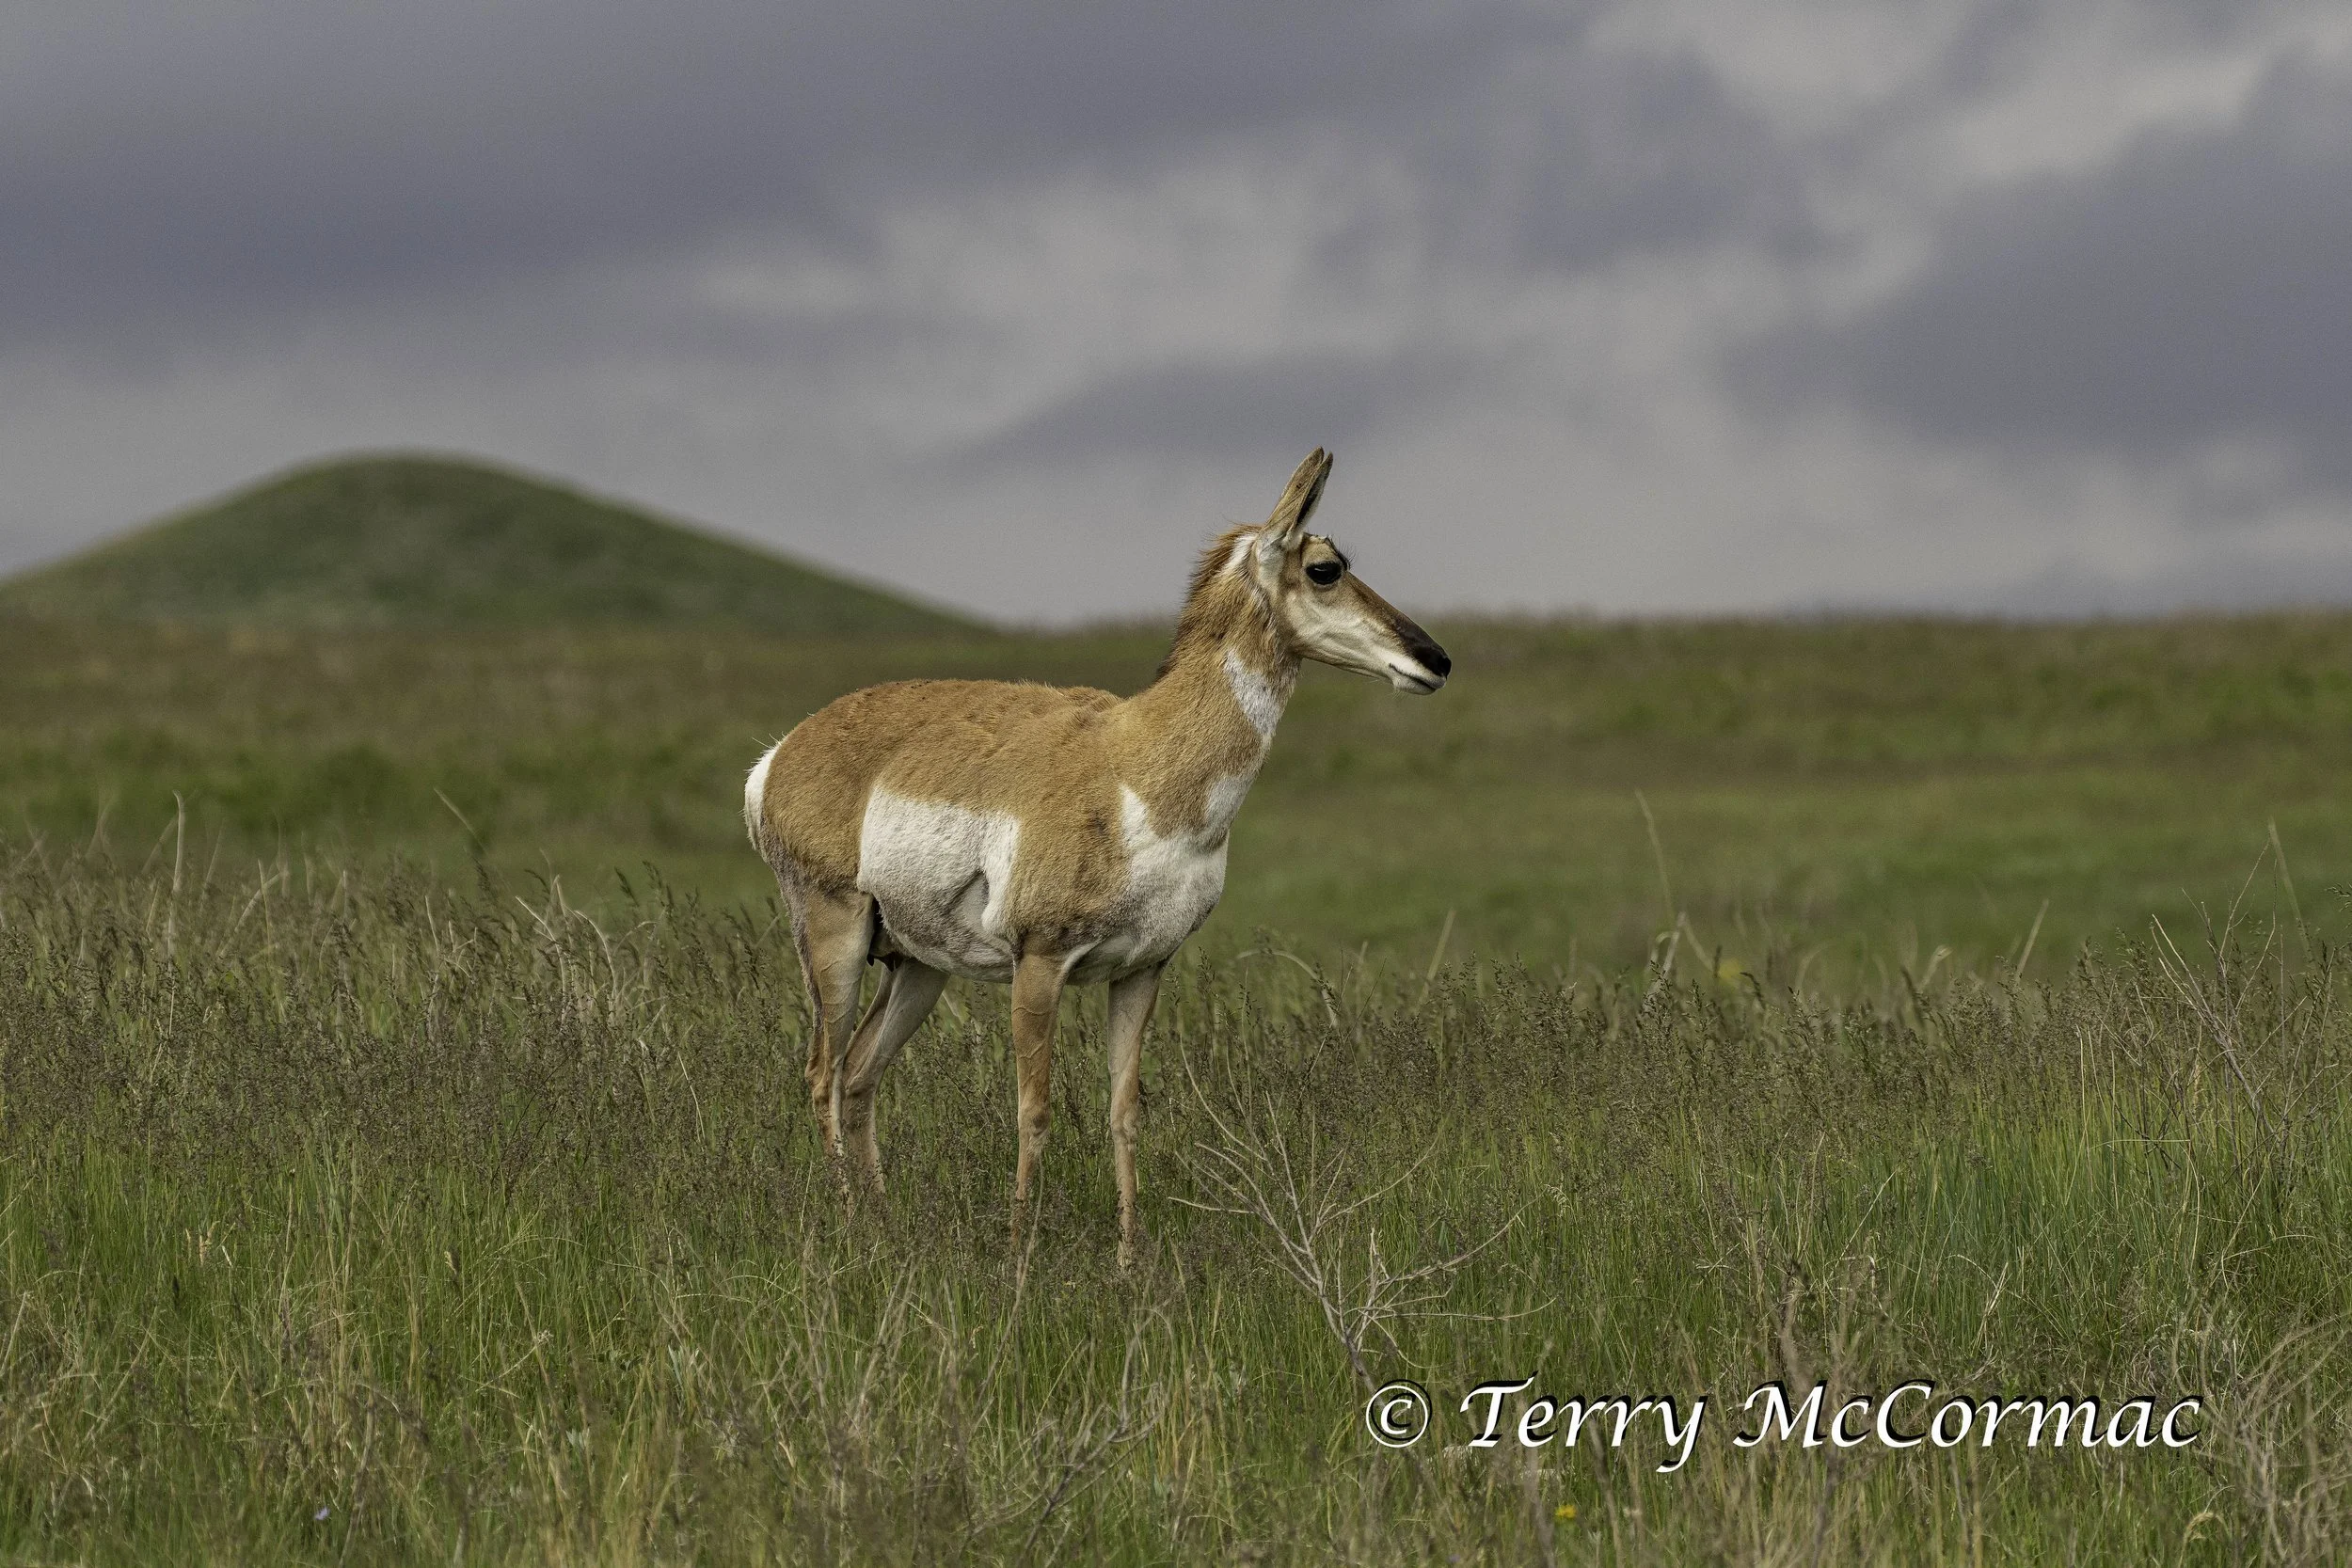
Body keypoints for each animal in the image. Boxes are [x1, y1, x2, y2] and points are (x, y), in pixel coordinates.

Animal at [743, 449, 1449, 1263]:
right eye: (1327, 568)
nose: (1435, 658)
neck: (1136, 764)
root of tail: (781, 753)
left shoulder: (1142, 970)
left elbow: (1125, 1111)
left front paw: (1130, 1260)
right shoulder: (1040, 962)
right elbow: (1034, 1110)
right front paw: (1019, 1257)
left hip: (918, 965)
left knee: (859, 1074)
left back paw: (883, 1228)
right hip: (837, 935)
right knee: (822, 1073)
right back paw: (851, 1229)